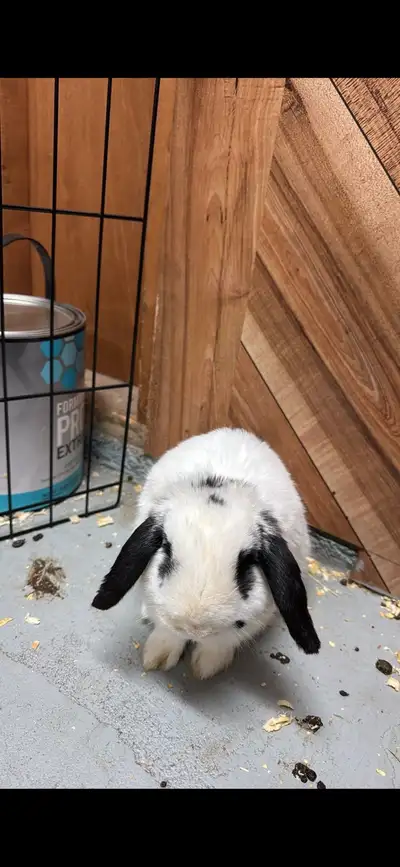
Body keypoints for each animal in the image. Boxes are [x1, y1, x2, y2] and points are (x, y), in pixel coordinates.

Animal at [92, 427, 320, 680]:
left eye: (247, 562)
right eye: (166, 549)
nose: (194, 627)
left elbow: (222, 641)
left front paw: (205, 668)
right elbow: (166, 631)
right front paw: (157, 658)